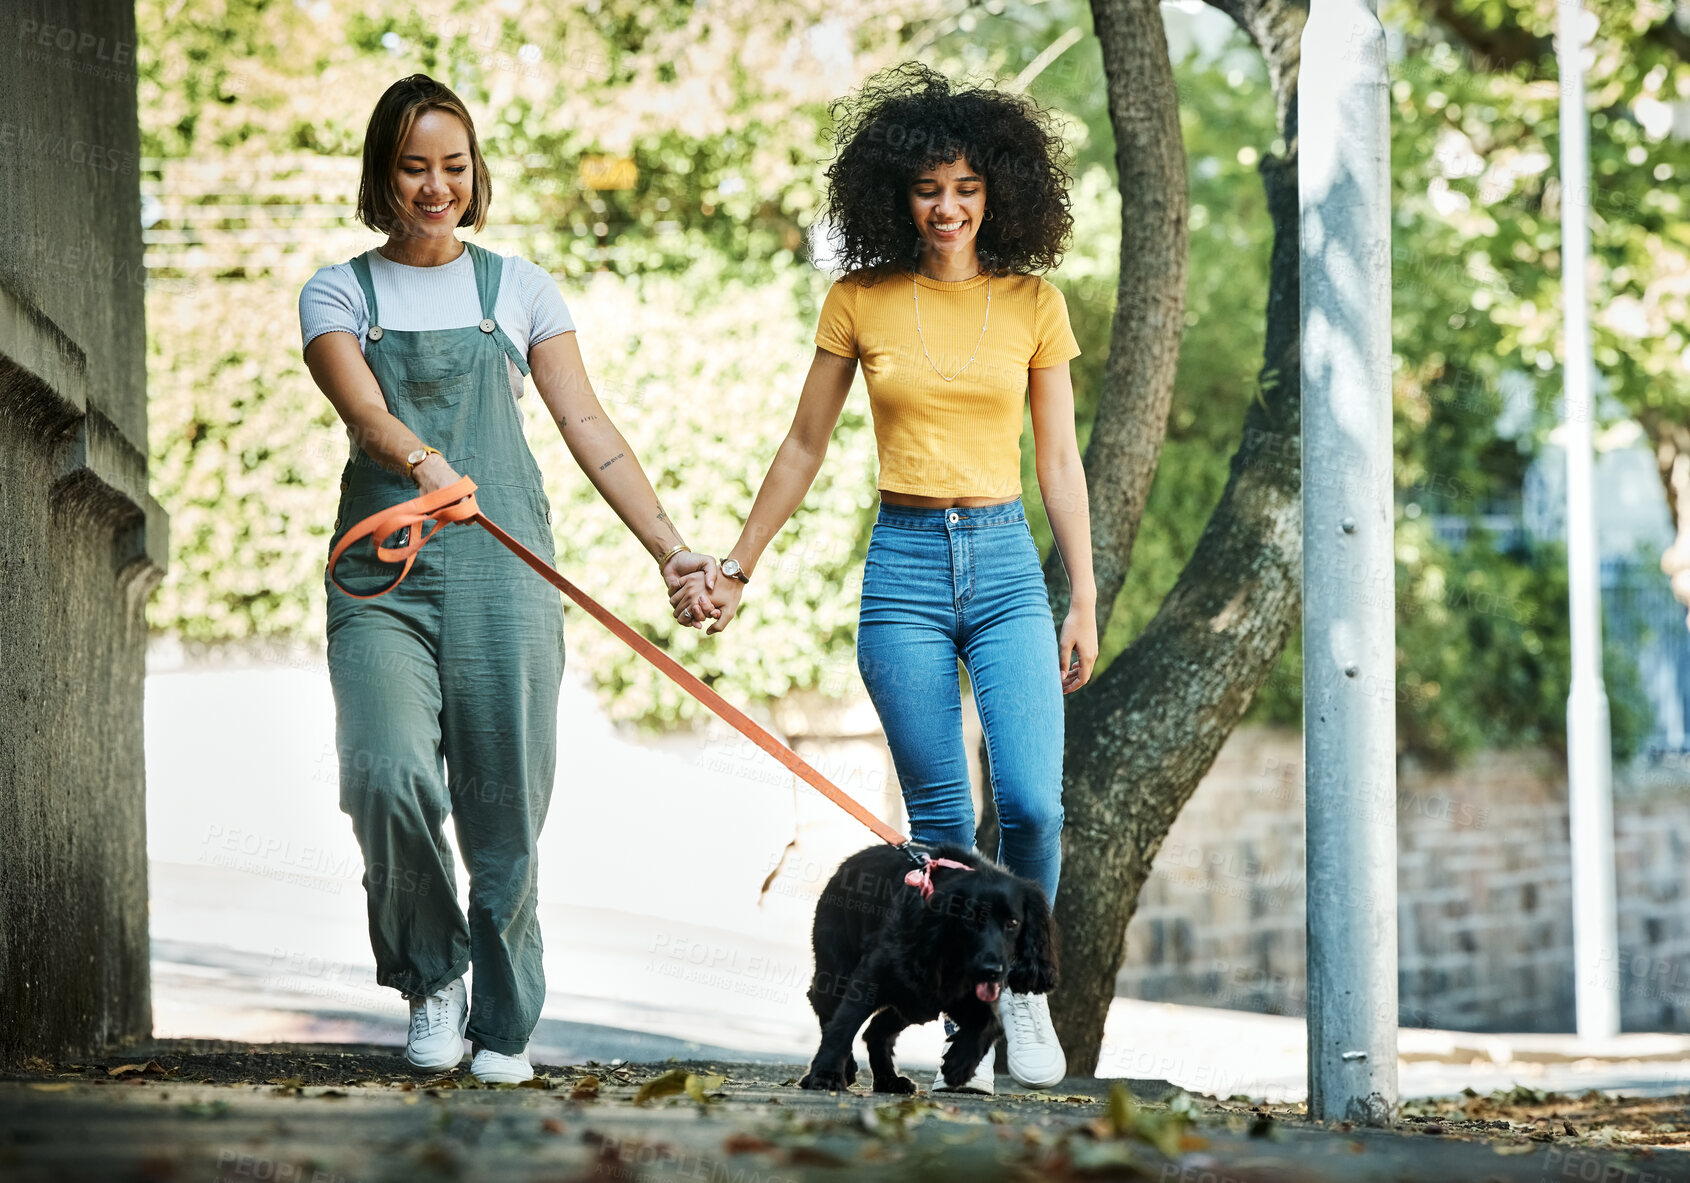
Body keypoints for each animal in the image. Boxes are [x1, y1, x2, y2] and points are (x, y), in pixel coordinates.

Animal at [794, 841, 1054, 1088]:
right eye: (969, 919)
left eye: (1013, 923)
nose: (992, 972)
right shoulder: (872, 978)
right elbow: (844, 1025)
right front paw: (825, 1075)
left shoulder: (953, 993)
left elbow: (990, 1023)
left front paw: (959, 1064)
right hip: (838, 972)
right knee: (827, 1011)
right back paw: (847, 1069)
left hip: (913, 1002)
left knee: (876, 1032)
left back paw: (889, 1080)